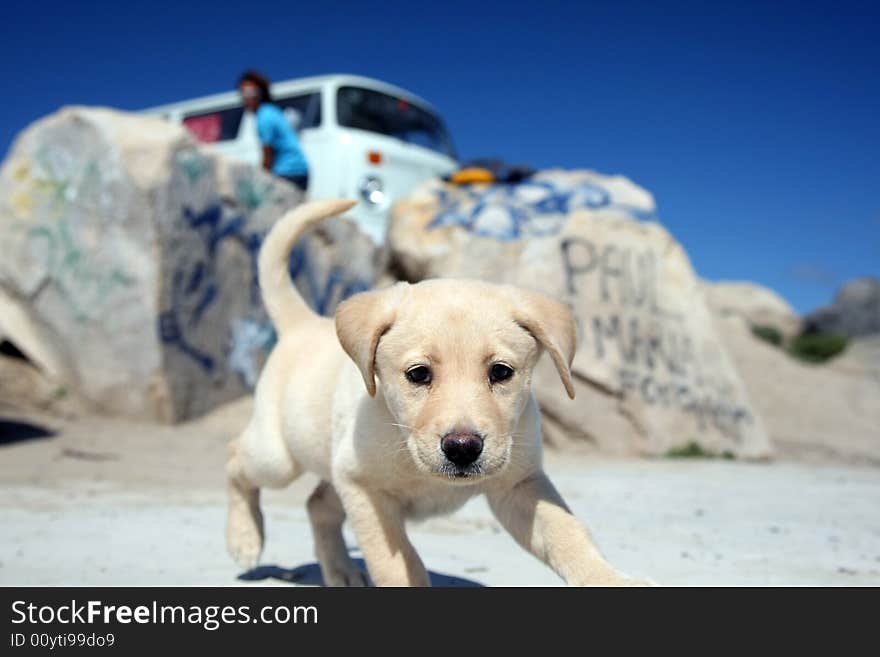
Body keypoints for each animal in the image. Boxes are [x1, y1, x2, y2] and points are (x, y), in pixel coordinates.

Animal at [227, 197, 648, 588]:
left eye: (501, 372)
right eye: (418, 375)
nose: (462, 448)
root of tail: (302, 323)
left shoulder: (520, 484)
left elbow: (567, 534)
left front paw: (610, 579)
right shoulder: (365, 490)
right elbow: (398, 563)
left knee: (317, 505)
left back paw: (341, 572)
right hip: (279, 457)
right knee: (237, 463)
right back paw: (244, 538)